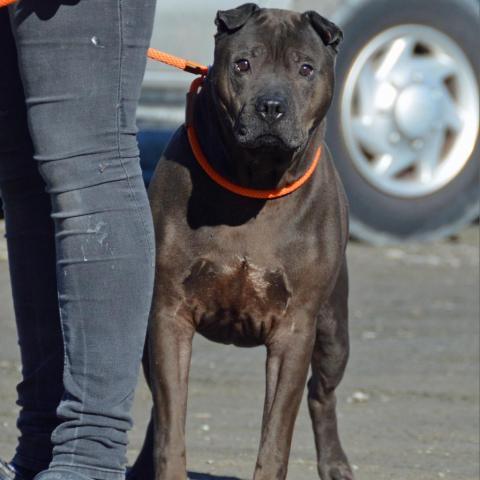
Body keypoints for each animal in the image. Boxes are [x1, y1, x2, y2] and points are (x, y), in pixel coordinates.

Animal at [131, 3, 352, 480]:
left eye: (306, 68)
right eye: (243, 64)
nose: (271, 106)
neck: (255, 181)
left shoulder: (294, 330)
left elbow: (276, 434)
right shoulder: (169, 315)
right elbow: (171, 419)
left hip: (333, 333)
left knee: (322, 393)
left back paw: (336, 464)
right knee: (158, 405)